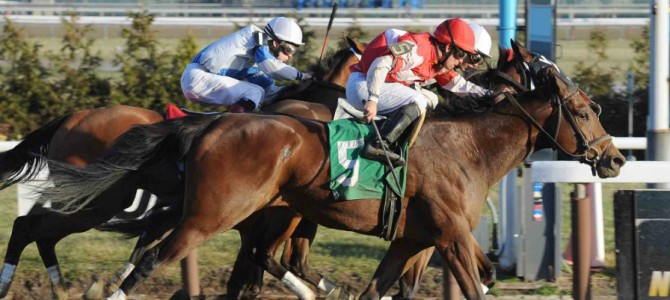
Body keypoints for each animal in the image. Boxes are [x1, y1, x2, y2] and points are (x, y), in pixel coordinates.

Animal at [0, 39, 368, 298]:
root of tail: (71, 117)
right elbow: (255, 276)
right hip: (97, 202)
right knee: (30, 227)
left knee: (39, 232)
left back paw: (60, 288)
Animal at [39, 42, 628, 300]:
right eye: (584, 110)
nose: (615, 158)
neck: (470, 146)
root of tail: (208, 126)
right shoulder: (453, 237)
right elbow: (478, 282)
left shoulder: (412, 240)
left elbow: (381, 289)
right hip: (212, 215)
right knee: (147, 257)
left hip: (251, 213)